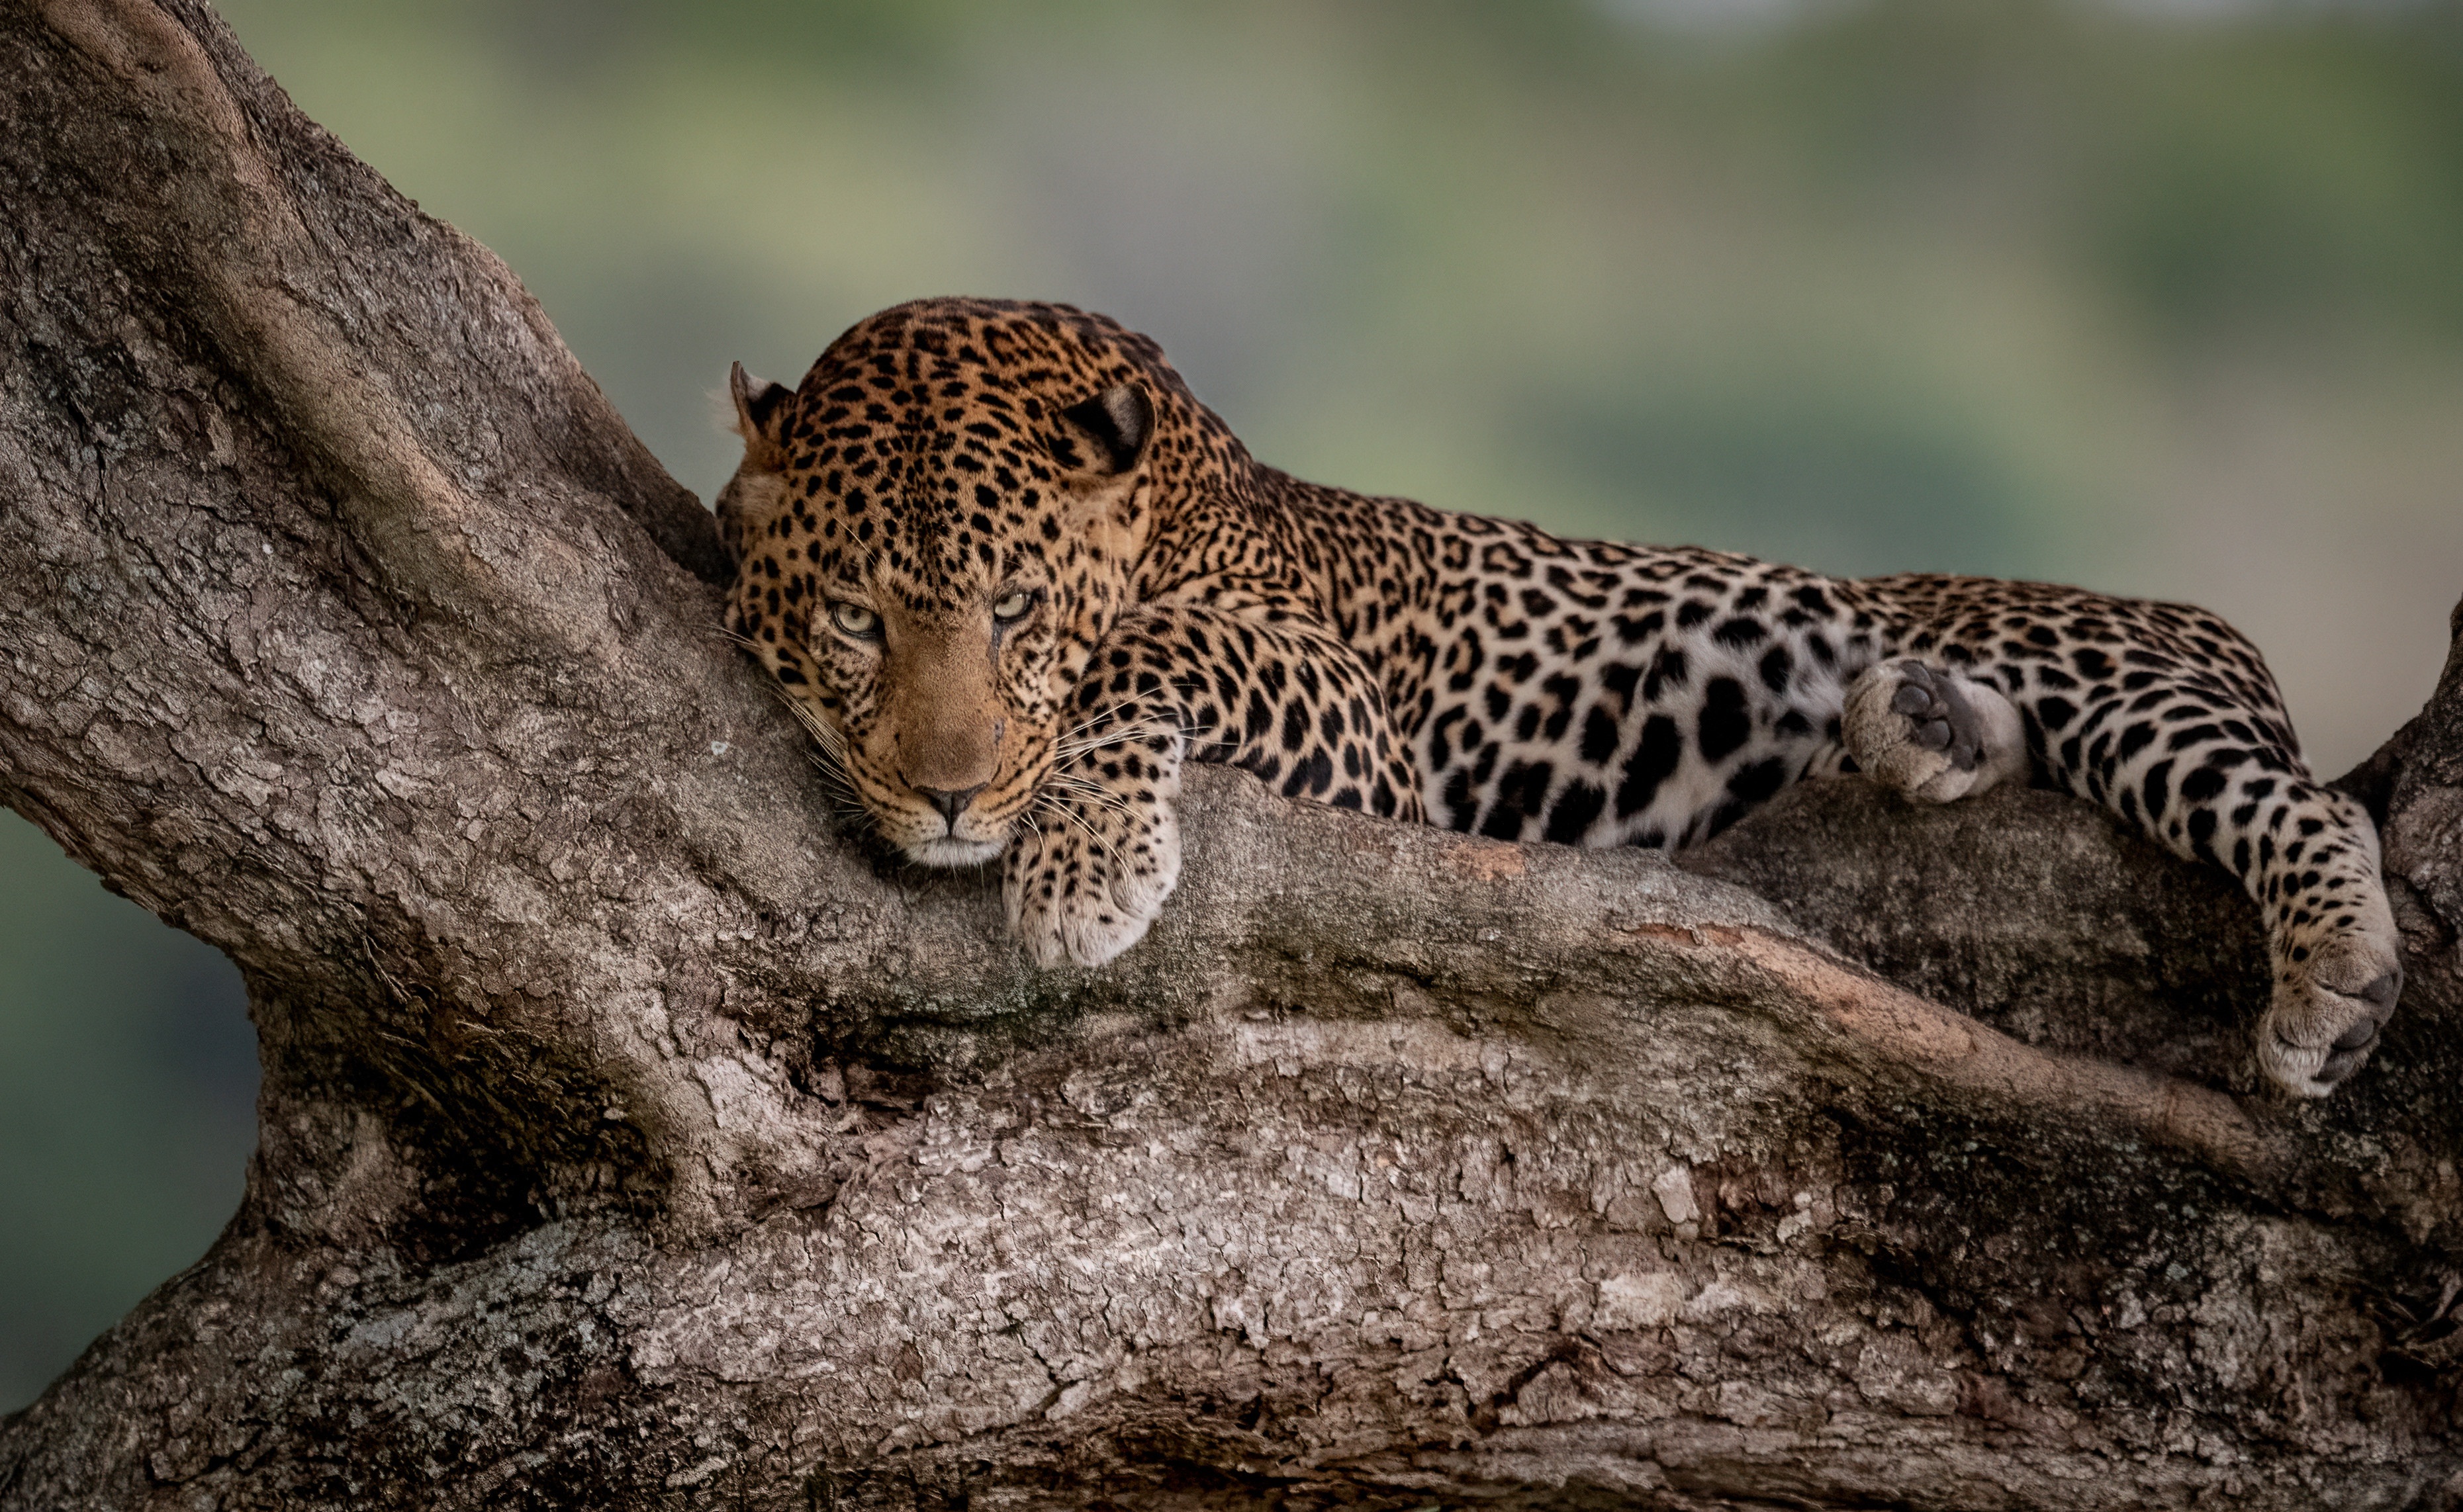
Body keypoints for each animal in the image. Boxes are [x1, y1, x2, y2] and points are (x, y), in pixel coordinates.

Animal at [720, 296, 2403, 1099]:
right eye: (859, 619)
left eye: (1015, 611)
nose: (948, 795)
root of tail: (2207, 626)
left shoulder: (1355, 729)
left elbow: (1150, 644)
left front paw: (1083, 868)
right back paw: (1919, 726)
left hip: (2110, 669)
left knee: (2295, 796)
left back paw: (2332, 977)